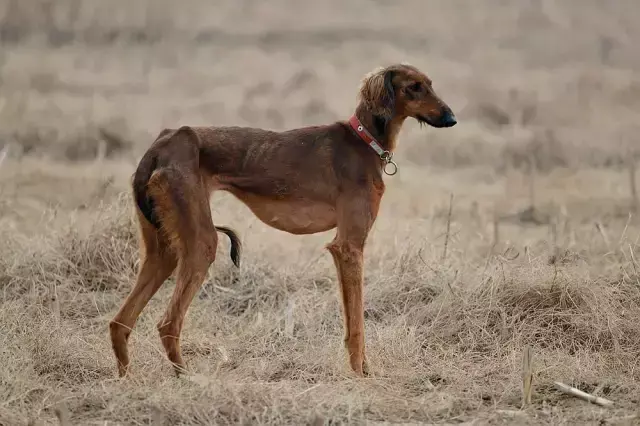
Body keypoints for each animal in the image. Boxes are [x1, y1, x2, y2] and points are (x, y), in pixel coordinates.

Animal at [109, 62, 456, 376]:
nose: (451, 118)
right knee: (168, 323)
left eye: (430, 84)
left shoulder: (344, 250)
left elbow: (351, 320)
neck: (363, 141)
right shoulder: (349, 247)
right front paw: (360, 375)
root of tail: (163, 143)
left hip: (163, 250)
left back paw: (128, 379)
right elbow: (357, 324)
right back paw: (187, 377)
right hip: (201, 245)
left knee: (120, 322)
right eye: (414, 87)